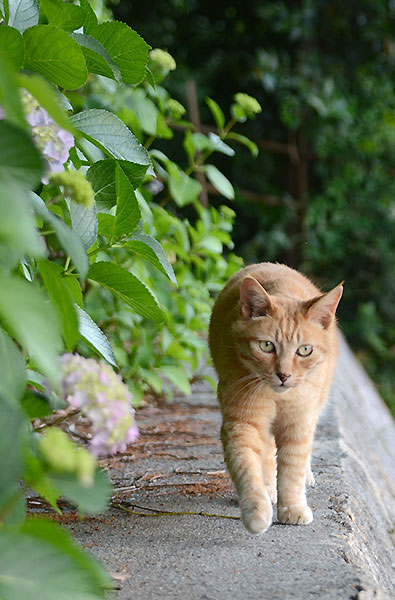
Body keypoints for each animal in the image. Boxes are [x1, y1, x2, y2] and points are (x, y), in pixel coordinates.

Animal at [210, 262, 344, 536]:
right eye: (266, 346)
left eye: (305, 350)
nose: (284, 375)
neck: (277, 397)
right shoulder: (244, 423)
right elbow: (248, 466)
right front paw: (257, 509)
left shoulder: (298, 424)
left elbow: (292, 470)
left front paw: (292, 507)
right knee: (268, 454)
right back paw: (270, 488)